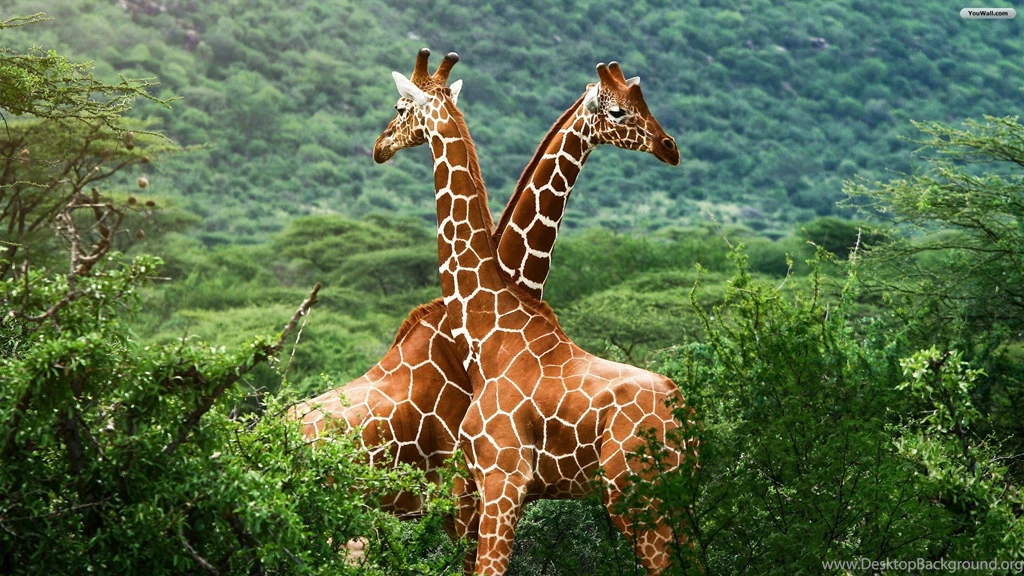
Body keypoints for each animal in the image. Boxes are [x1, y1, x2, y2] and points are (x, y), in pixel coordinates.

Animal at [371, 49, 694, 575]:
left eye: (400, 107)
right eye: (620, 111)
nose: (670, 148)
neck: (490, 326)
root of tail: (683, 416)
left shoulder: (500, 480)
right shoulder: (483, 489)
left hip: (638, 497)